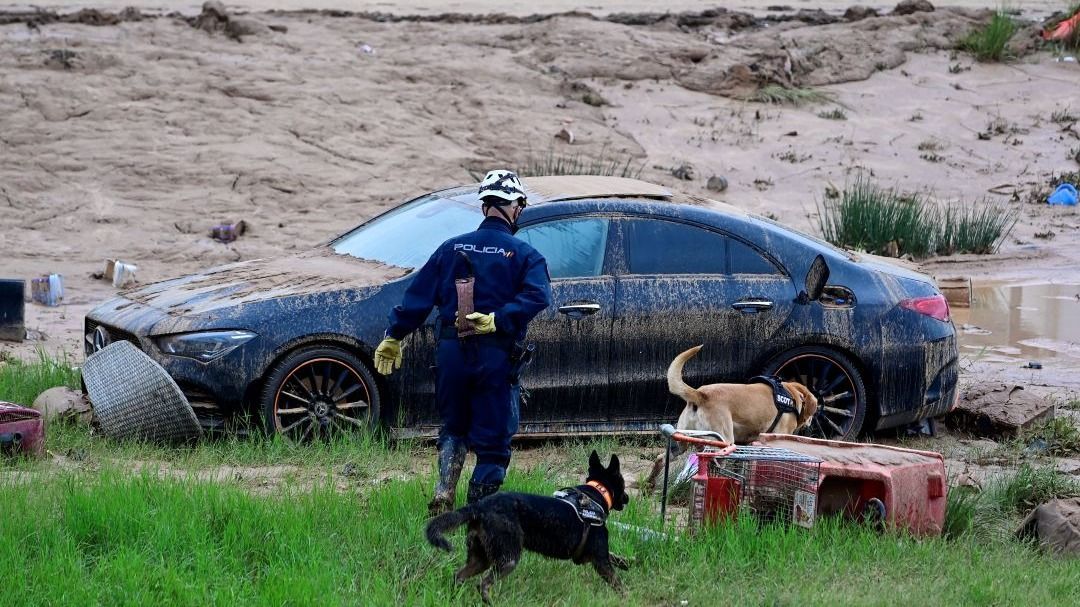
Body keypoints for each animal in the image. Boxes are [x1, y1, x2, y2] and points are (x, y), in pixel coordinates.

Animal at [425, 449, 630, 600]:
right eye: (623, 483)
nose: (627, 498)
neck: (596, 494)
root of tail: (479, 506)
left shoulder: (593, 555)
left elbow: (614, 557)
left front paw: (627, 561)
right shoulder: (600, 561)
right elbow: (618, 584)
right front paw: (627, 598)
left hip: (481, 558)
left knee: (458, 576)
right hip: (508, 558)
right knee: (483, 584)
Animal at [639, 345, 816, 492]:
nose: (811, 423)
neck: (792, 394)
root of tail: (700, 395)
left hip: (681, 442)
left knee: (661, 459)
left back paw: (649, 485)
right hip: (723, 441)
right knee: (714, 465)